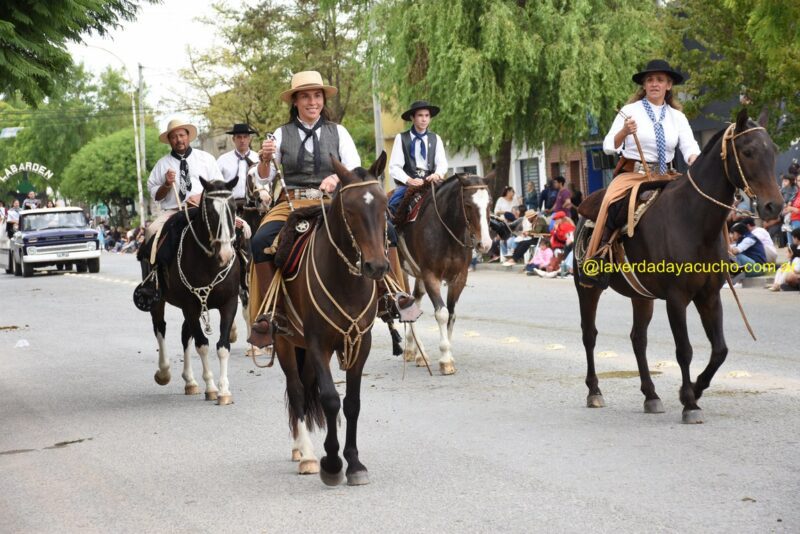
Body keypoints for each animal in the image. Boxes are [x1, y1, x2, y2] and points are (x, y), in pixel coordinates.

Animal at [148, 178, 241, 405]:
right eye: (211, 212)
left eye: (234, 208)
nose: (226, 254)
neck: (209, 263)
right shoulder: (190, 305)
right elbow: (202, 344)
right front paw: (212, 387)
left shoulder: (228, 303)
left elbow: (222, 346)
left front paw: (224, 391)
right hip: (159, 301)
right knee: (160, 328)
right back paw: (164, 372)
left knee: (184, 334)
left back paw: (190, 381)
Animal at [270, 153, 389, 486]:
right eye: (350, 210)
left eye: (384, 205)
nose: (376, 266)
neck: (344, 279)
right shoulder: (317, 343)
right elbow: (331, 399)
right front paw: (333, 463)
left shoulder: (360, 344)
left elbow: (352, 403)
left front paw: (355, 462)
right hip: (286, 342)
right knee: (297, 391)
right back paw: (307, 455)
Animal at [395, 173, 493, 374]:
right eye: (468, 204)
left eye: (489, 203)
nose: (485, 244)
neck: (447, 232)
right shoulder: (431, 276)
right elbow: (442, 314)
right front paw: (445, 358)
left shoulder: (459, 278)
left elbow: (452, 314)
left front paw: (449, 355)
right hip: (401, 271)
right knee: (406, 303)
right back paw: (420, 352)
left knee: (415, 301)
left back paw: (413, 350)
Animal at [574, 109, 783, 424]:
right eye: (747, 152)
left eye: (773, 150)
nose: (775, 206)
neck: (693, 220)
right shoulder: (677, 298)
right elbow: (684, 350)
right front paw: (690, 404)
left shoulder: (709, 296)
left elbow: (720, 350)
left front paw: (695, 390)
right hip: (587, 289)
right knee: (590, 335)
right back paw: (594, 391)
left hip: (641, 296)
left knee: (638, 339)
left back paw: (651, 395)